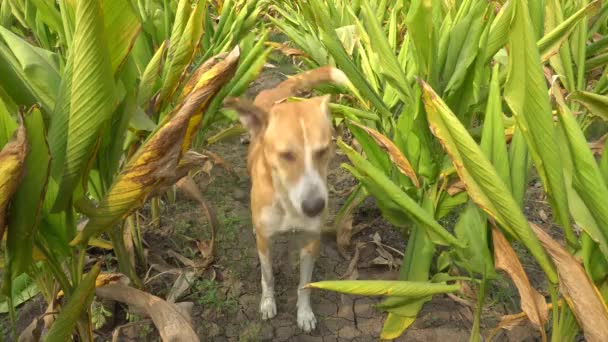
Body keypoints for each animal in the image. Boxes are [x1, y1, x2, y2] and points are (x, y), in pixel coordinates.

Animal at [223, 66, 346, 332]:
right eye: (286, 155)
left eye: (323, 151)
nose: (314, 207)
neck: (288, 203)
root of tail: (279, 92)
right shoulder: (265, 243)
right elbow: (268, 276)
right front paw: (268, 303)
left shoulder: (311, 240)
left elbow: (304, 285)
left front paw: (304, 313)